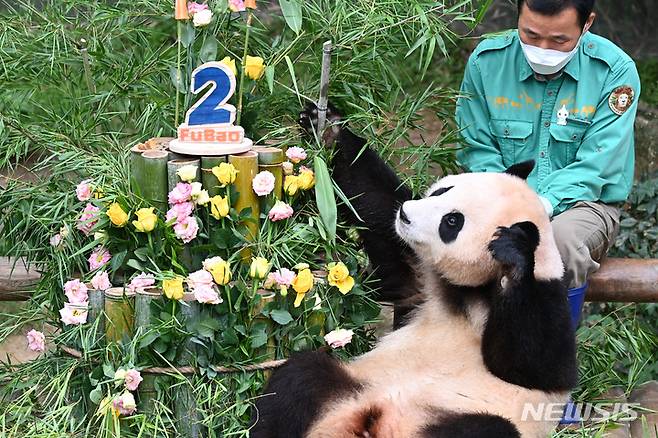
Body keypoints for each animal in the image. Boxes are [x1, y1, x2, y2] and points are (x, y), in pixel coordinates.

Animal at [249, 103, 576, 438]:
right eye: (442, 191)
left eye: (452, 221)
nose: (405, 213)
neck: (475, 289)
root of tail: (371, 426)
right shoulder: (421, 276)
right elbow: (375, 203)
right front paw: (327, 128)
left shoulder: (550, 293)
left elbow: (538, 367)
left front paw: (514, 250)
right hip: (353, 387)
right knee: (301, 379)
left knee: (485, 428)